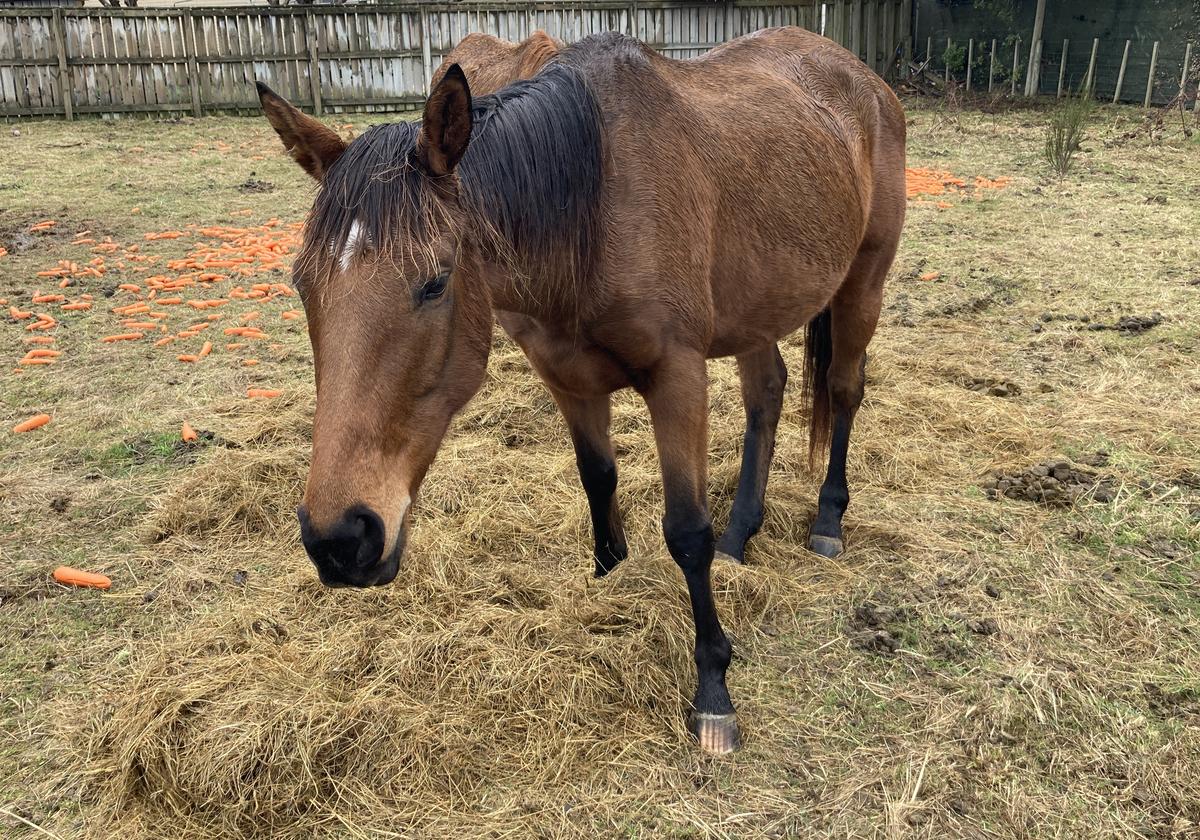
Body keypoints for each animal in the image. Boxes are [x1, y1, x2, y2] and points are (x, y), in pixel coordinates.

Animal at [257, 25, 906, 753]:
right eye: (302, 285)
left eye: (435, 280)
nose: (339, 538)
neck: (591, 211)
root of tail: (861, 76)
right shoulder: (567, 380)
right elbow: (598, 482)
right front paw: (611, 586)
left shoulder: (677, 377)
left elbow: (687, 531)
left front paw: (713, 689)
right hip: (755, 309)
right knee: (766, 396)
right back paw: (742, 536)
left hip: (863, 283)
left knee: (844, 391)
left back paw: (827, 522)